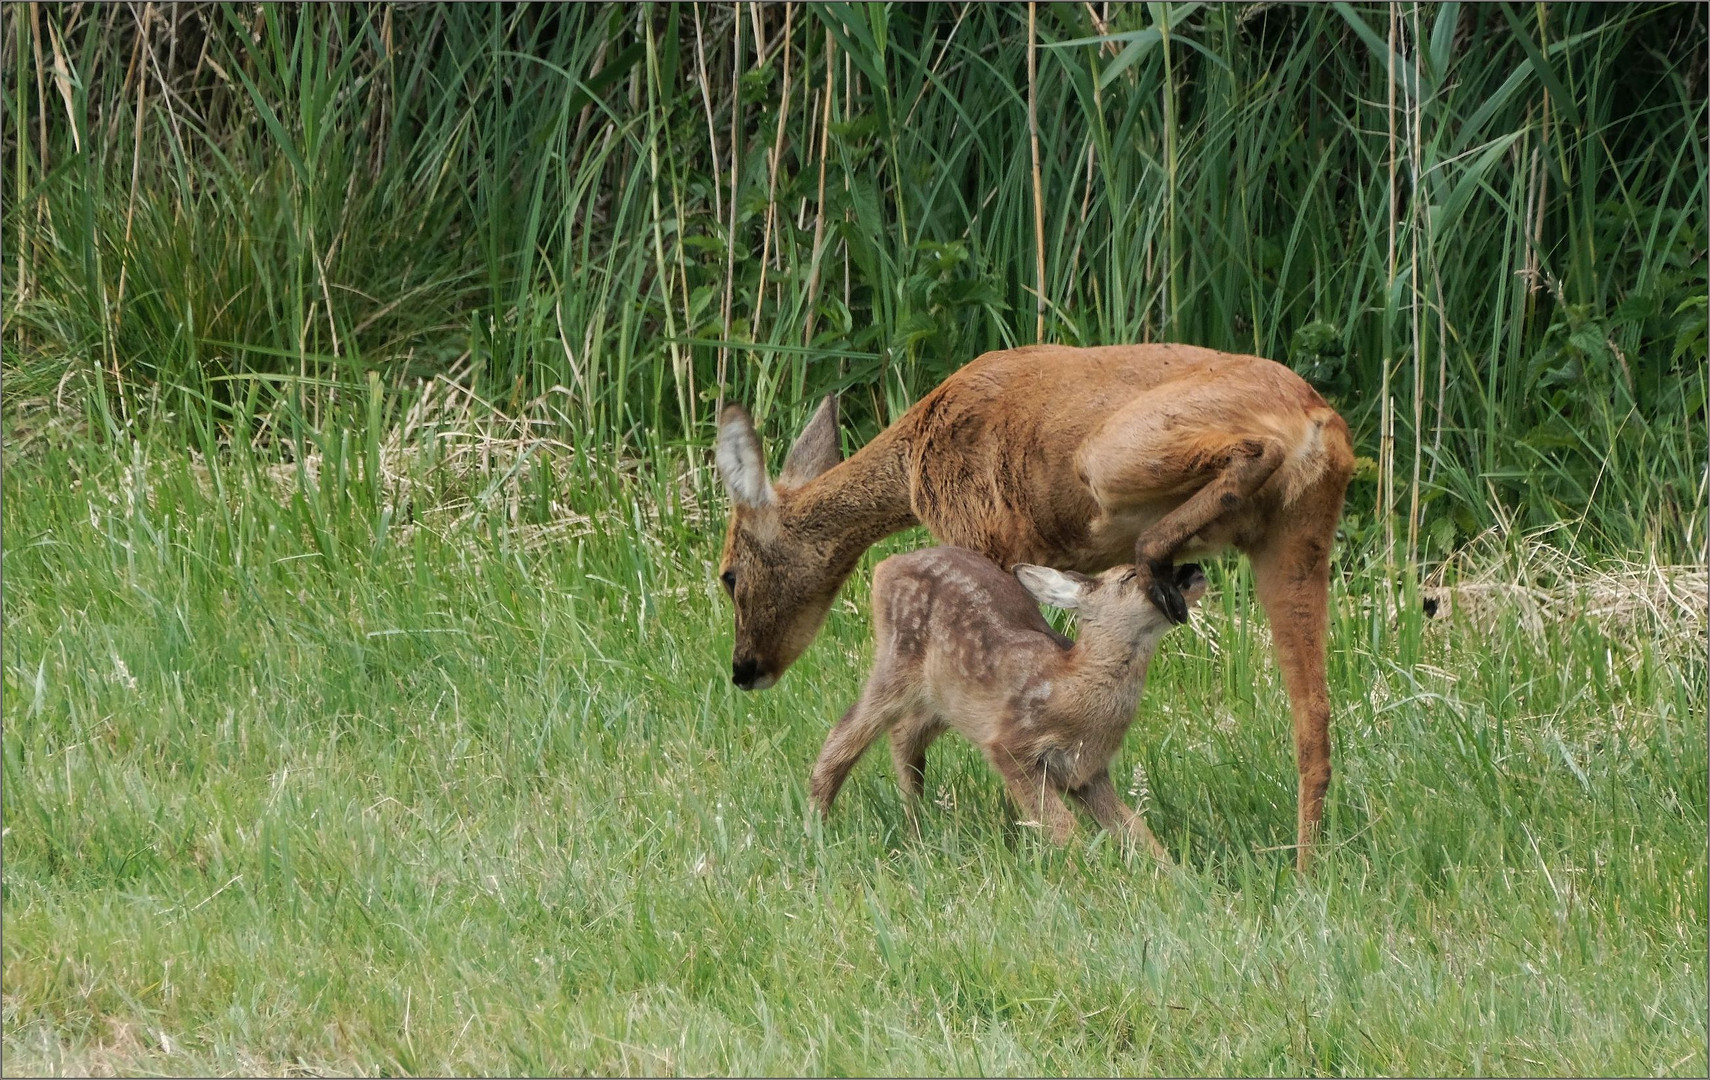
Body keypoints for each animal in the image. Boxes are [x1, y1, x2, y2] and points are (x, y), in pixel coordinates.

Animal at [807, 543, 1210, 857]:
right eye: (1129, 576)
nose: (1195, 570)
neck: (1068, 686)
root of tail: (885, 565)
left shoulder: (1089, 772)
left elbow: (1136, 830)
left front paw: (1172, 875)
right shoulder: (1011, 745)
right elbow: (1062, 826)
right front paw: (1084, 870)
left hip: (946, 700)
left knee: (904, 735)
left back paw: (916, 826)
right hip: (897, 663)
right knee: (844, 735)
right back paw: (817, 828)